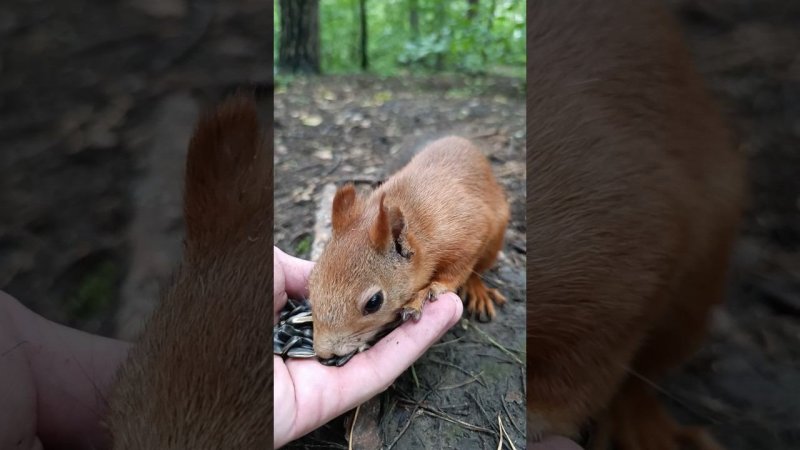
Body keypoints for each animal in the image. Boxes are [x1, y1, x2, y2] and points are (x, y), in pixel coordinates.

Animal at [310, 135, 510, 360]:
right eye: (311, 281)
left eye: (374, 302)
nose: (324, 353)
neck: (420, 228)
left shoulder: (470, 232)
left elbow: (456, 271)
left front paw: (427, 292)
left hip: (494, 240)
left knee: (478, 270)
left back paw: (477, 290)